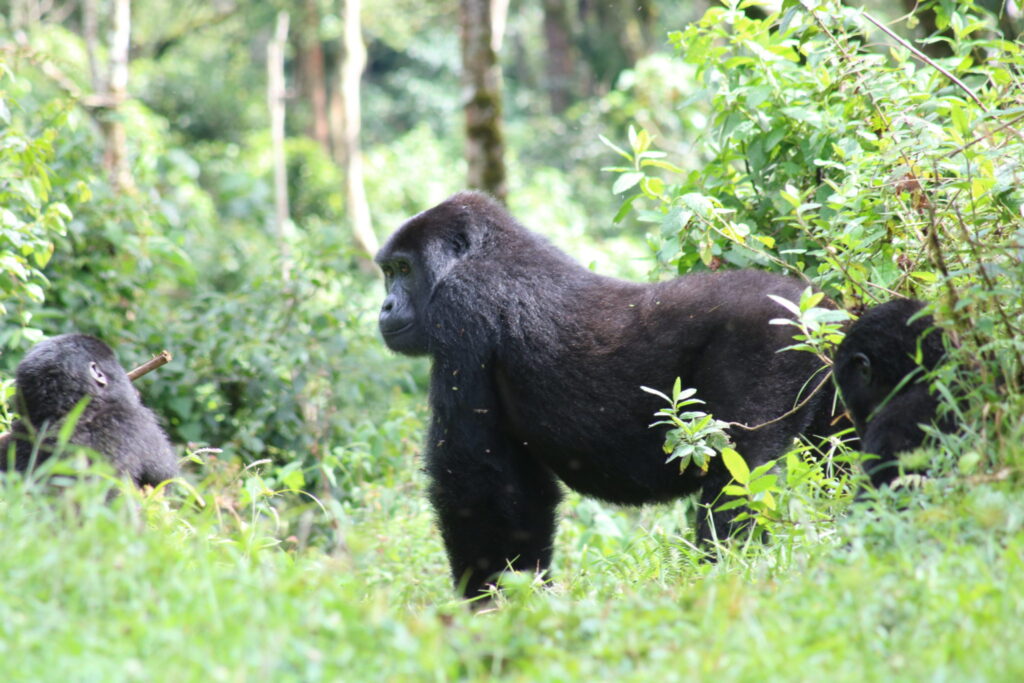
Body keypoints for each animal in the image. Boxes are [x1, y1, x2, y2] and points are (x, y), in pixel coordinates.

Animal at [376, 192, 839, 598]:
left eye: (403, 269)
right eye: (388, 272)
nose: (384, 307)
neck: (484, 250)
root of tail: (815, 307)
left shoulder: (461, 308)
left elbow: (472, 473)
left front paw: (483, 601)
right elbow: (517, 490)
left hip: (771, 338)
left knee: (739, 471)